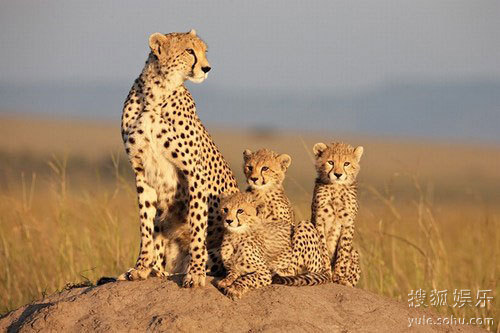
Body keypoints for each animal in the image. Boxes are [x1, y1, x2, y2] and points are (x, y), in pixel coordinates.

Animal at [120, 29, 238, 286]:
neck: (156, 93)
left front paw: (195, 272)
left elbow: (197, 224)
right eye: (189, 51)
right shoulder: (141, 172)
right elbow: (146, 224)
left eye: (204, 50)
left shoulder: (194, 172)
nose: (207, 68)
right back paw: (156, 270)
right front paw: (141, 268)